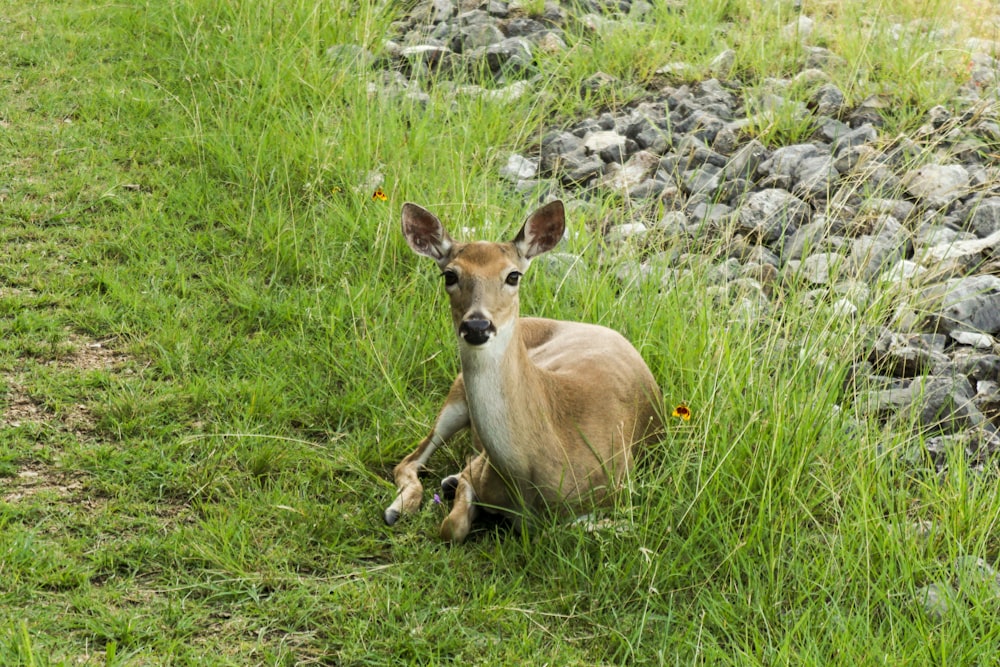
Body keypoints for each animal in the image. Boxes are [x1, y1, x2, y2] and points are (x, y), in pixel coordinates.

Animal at [384, 198, 664, 544]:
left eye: (513, 275)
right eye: (449, 275)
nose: (477, 325)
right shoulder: (479, 470)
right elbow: (452, 526)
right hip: (456, 394)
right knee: (408, 460)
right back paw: (399, 508)